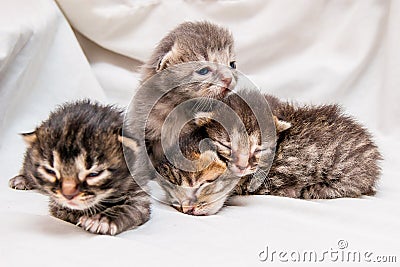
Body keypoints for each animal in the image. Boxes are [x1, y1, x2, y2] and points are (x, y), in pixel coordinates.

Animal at [9, 101, 150, 236]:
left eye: (94, 174)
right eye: (50, 171)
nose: (68, 195)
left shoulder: (139, 193)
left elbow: (130, 209)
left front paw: (102, 220)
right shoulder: (60, 206)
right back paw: (21, 179)